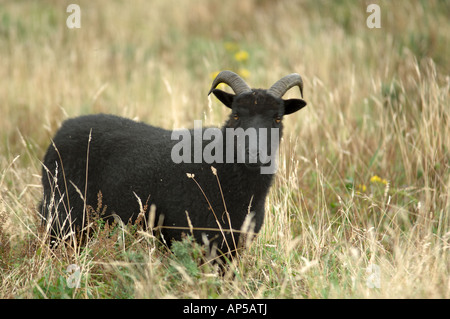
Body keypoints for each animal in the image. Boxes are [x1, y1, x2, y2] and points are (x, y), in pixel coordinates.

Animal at [40, 71, 306, 258]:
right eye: (236, 115)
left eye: (277, 118)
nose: (253, 154)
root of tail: (63, 130)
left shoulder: (232, 245)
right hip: (62, 215)